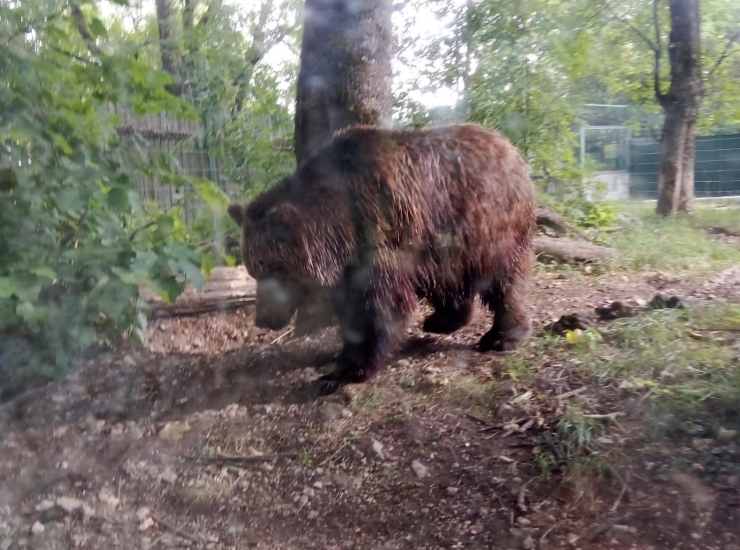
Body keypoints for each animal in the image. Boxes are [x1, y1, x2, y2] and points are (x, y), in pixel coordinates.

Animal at [228, 124, 536, 396]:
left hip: (487, 226)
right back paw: (441, 320)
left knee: (503, 281)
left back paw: (502, 336)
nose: (263, 319)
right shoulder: (348, 269)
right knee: (452, 281)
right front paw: (344, 356)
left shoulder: (381, 238)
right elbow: (352, 312)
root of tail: (511, 150)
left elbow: (383, 308)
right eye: (254, 270)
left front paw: (352, 369)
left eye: (274, 269)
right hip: (447, 243)